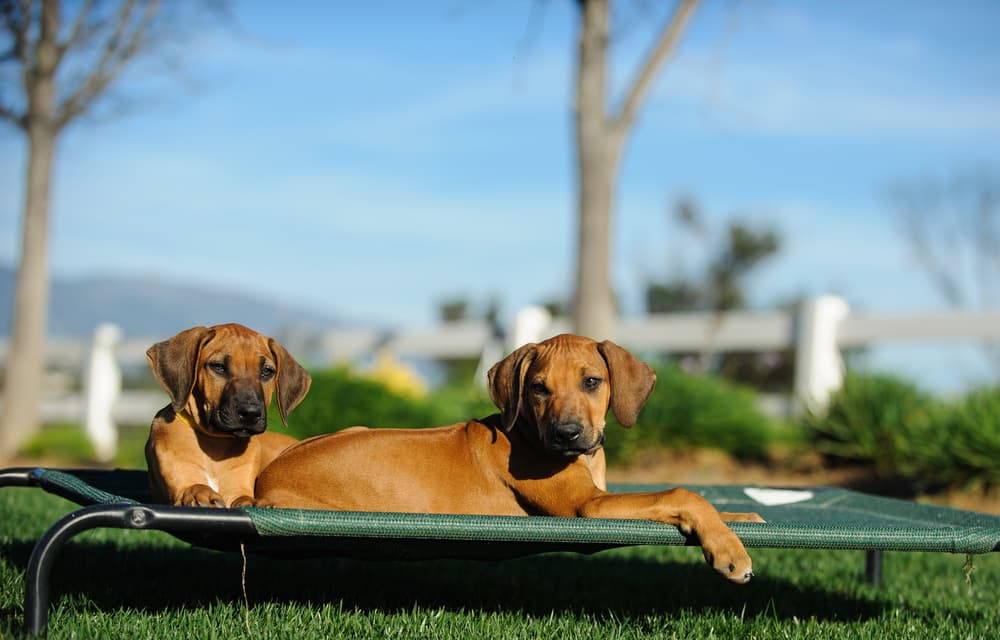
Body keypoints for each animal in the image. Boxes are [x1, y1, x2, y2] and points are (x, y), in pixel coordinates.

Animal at [145, 324, 312, 510]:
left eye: (267, 371)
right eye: (218, 367)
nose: (250, 413)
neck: (215, 442)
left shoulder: (237, 490)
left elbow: (243, 498)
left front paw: (253, 502)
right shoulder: (181, 484)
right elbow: (194, 485)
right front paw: (200, 492)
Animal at [256, 332, 756, 584]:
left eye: (592, 382)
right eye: (538, 388)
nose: (566, 434)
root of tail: (264, 485)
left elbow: (690, 501)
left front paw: (740, 518)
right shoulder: (588, 508)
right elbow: (683, 491)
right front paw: (730, 550)